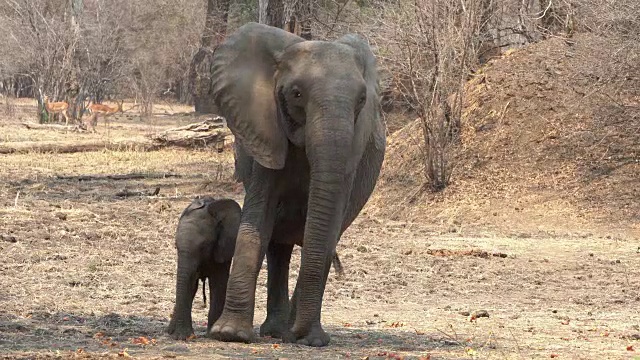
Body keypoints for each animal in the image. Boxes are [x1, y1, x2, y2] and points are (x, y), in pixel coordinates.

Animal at [166, 197, 241, 340]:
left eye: (203, 246)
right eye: (176, 245)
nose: (181, 338)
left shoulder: (223, 249)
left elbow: (218, 283)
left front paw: (212, 334)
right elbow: (190, 285)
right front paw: (183, 335)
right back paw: (170, 331)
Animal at [209, 21, 384, 346]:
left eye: (362, 101)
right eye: (297, 94)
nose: (302, 335)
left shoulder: (353, 157)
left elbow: (327, 230)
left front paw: (311, 339)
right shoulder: (265, 131)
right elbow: (258, 220)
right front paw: (230, 335)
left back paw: (285, 331)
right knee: (278, 245)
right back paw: (277, 330)